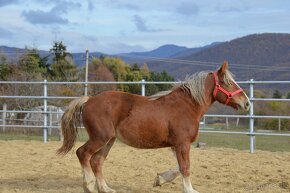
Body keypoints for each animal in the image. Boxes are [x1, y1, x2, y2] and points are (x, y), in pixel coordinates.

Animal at [57, 61, 250, 193]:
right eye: (228, 83)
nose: (246, 103)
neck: (186, 106)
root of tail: (89, 100)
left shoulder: (176, 145)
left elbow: (179, 168)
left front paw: (160, 180)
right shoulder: (182, 144)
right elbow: (185, 167)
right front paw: (190, 190)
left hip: (109, 140)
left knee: (97, 161)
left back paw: (106, 189)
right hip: (100, 138)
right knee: (83, 153)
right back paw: (89, 185)